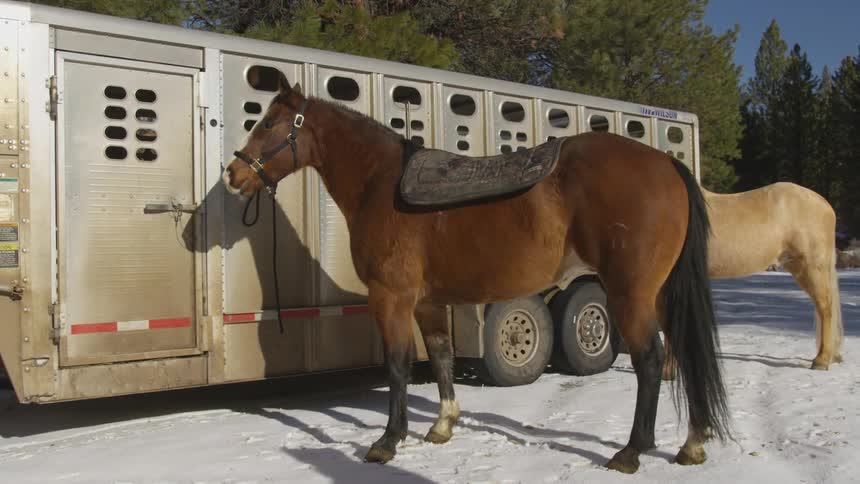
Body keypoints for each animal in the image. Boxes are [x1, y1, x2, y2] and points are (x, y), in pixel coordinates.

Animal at [222, 73, 730, 474]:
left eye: (268, 123)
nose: (232, 175)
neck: (378, 184)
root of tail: (666, 163)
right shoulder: (428, 302)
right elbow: (440, 356)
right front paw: (443, 424)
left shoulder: (391, 297)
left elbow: (398, 364)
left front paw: (386, 442)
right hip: (661, 295)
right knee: (684, 352)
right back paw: (693, 443)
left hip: (629, 293)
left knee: (650, 360)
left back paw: (630, 452)